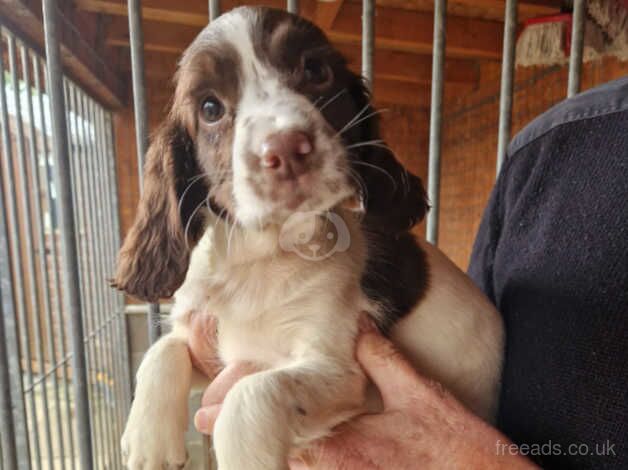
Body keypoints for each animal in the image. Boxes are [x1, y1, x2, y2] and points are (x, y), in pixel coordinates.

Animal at [114, 7, 506, 470]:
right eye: (210, 107)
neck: (260, 256)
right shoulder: (209, 341)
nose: (286, 147)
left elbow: (250, 396)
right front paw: (149, 442)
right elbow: (162, 350)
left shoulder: (339, 366)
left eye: (315, 70)